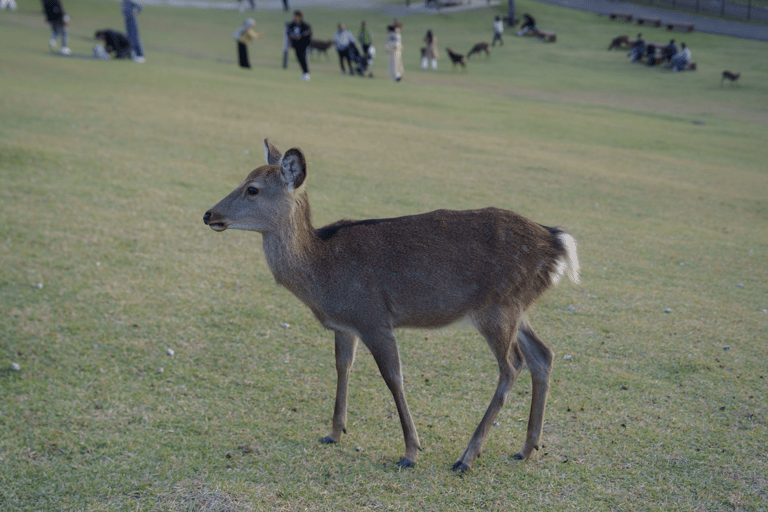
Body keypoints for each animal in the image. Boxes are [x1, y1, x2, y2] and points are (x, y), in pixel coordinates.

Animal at [201, 137, 580, 472]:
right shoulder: (346, 324)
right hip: (518, 308)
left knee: (512, 365)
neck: (321, 274)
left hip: (497, 309)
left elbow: (393, 377)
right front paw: (334, 433)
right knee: (543, 354)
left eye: (252, 189)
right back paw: (527, 448)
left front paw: (411, 452)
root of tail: (558, 243)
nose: (208, 214)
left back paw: (466, 457)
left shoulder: (374, 317)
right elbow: (342, 366)